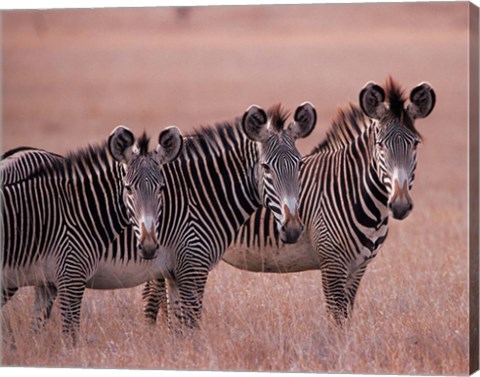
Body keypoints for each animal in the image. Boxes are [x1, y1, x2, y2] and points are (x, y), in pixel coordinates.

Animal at [142, 76, 436, 324]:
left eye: (415, 144)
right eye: (380, 145)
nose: (400, 205)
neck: (351, 191)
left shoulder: (359, 266)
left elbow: (346, 316)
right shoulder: (332, 263)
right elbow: (336, 319)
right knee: (152, 297)